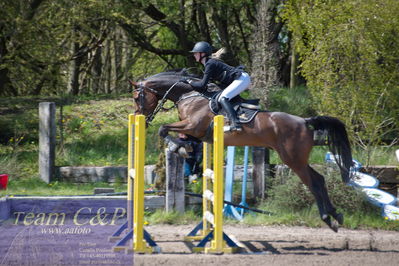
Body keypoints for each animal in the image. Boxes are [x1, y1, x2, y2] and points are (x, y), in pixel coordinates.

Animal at [131, 69, 354, 233]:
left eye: (136, 97)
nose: (141, 118)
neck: (190, 95)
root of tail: (305, 121)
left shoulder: (193, 126)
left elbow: (163, 129)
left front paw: (180, 149)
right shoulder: (195, 133)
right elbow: (179, 139)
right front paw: (183, 151)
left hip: (293, 159)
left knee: (313, 182)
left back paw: (328, 218)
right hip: (297, 159)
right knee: (320, 179)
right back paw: (335, 216)